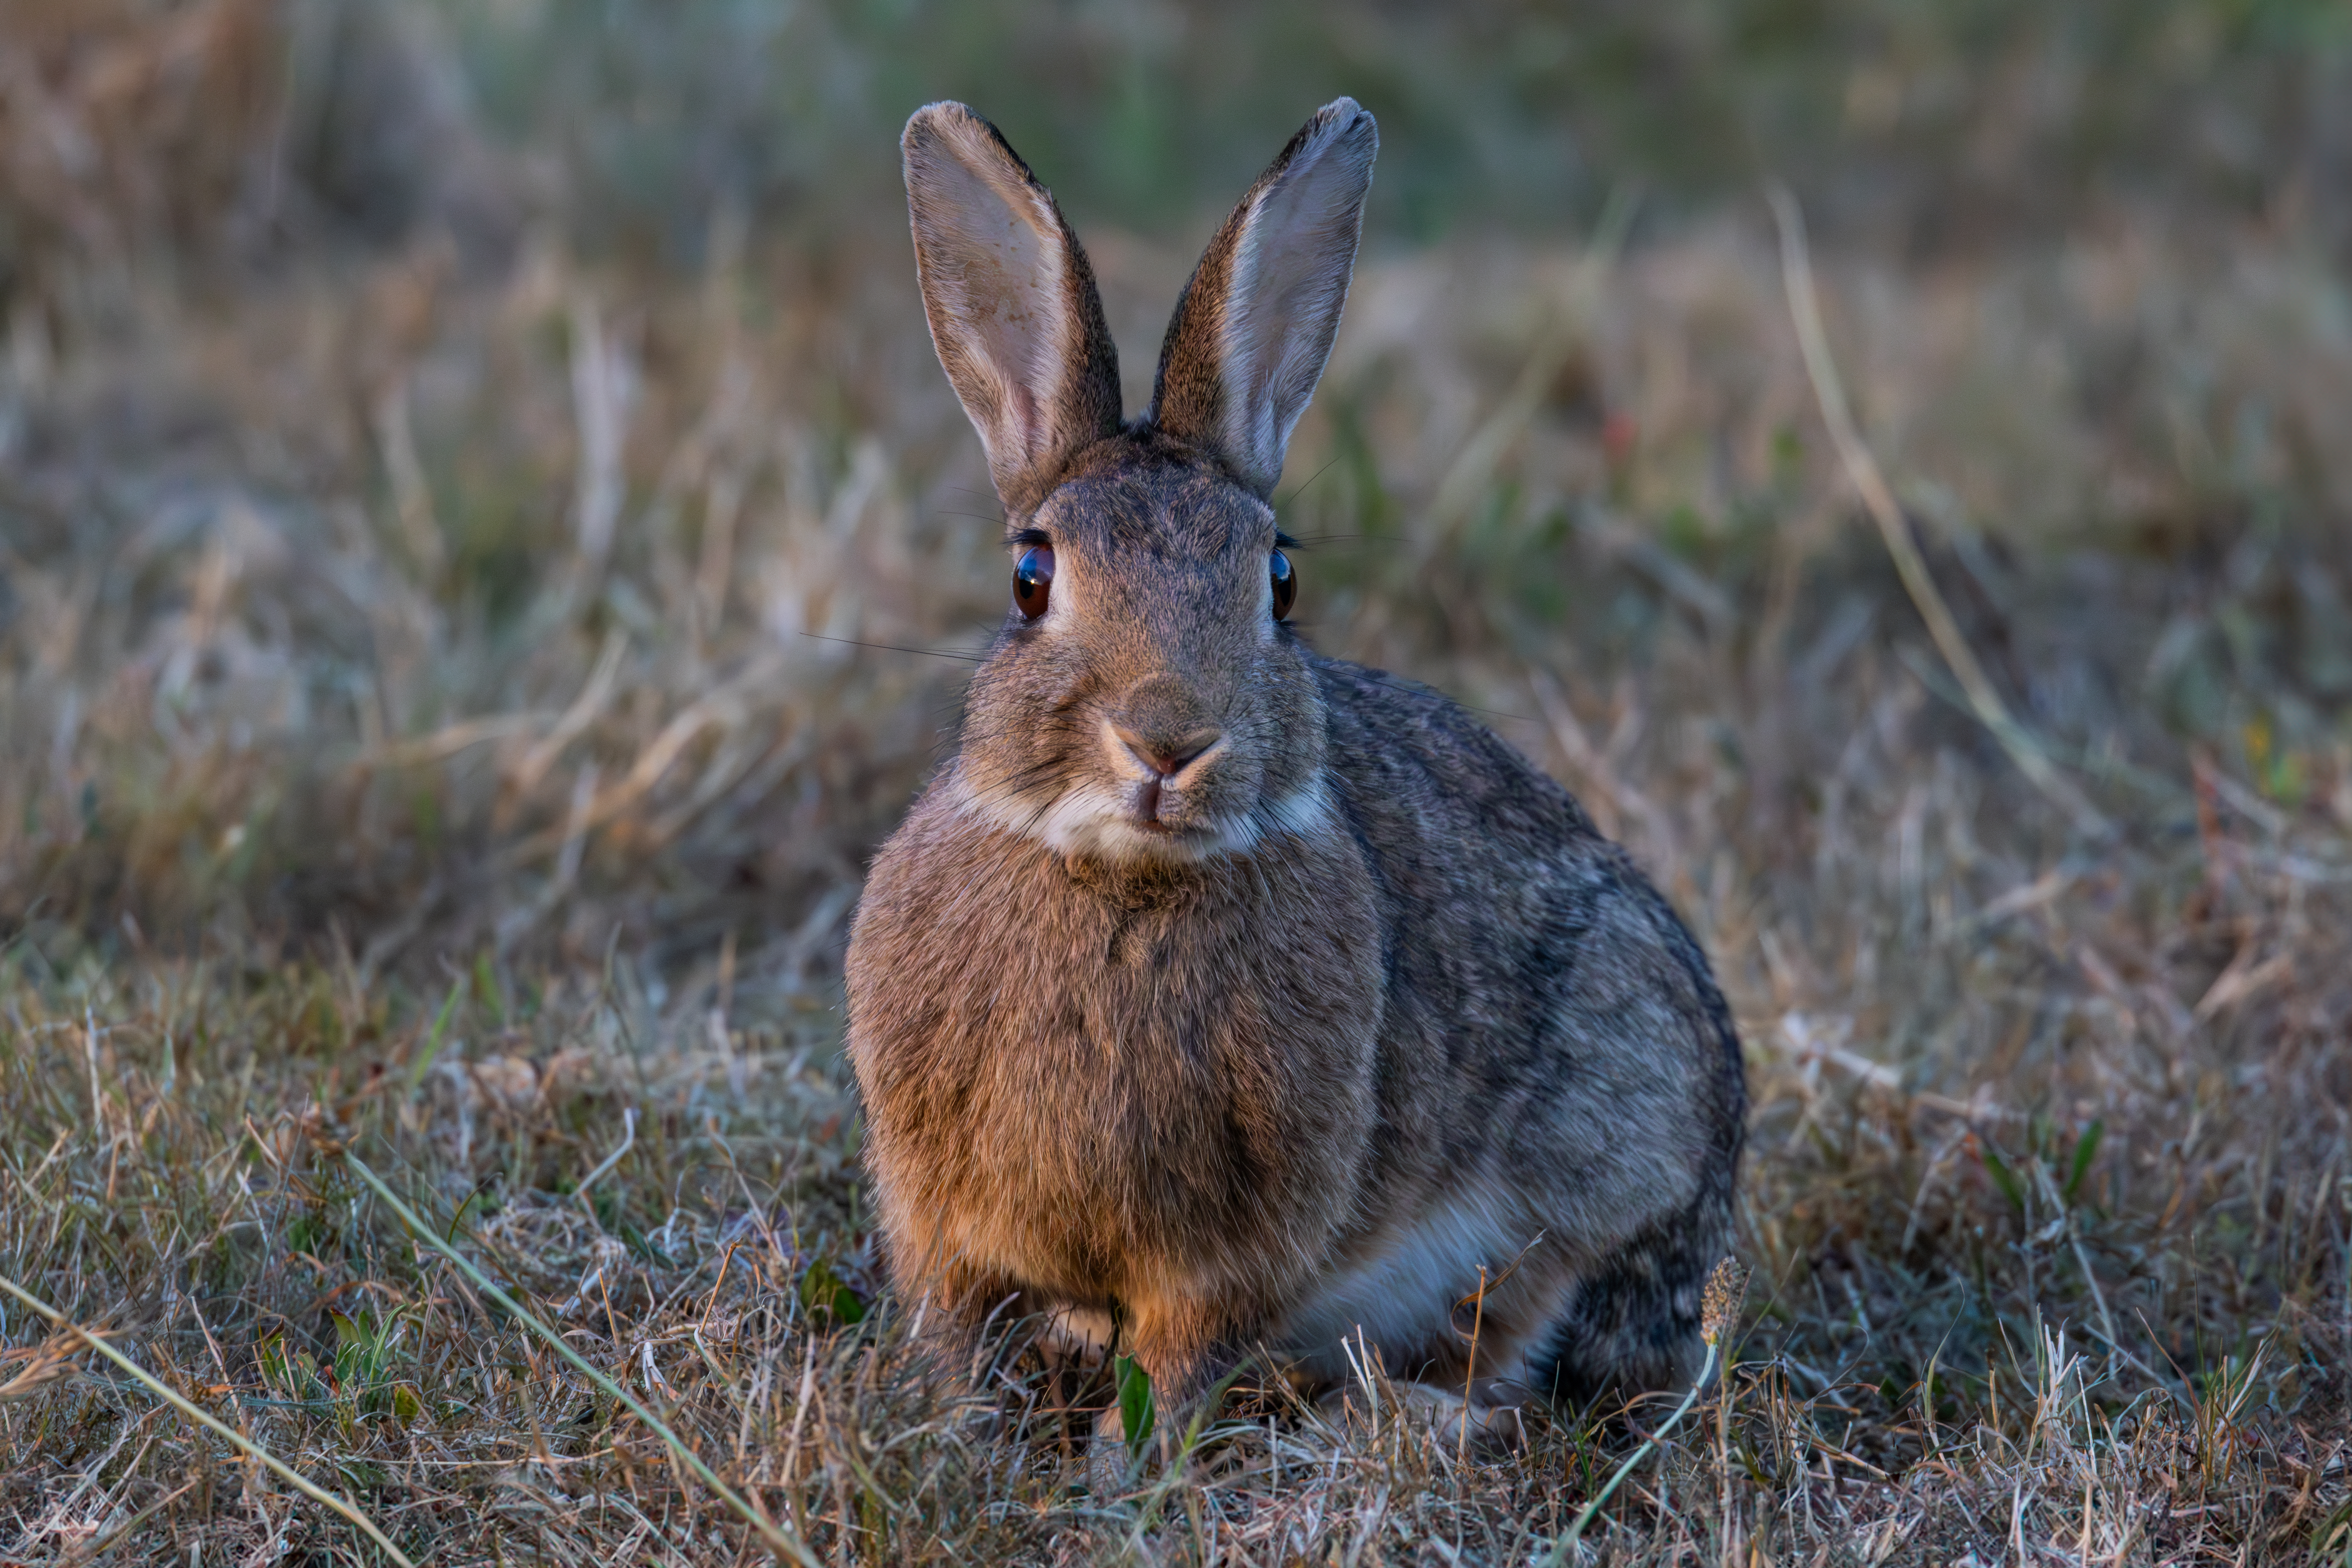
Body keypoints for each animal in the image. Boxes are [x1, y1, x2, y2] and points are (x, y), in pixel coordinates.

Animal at [844, 97, 1746, 1444]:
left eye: (1278, 581)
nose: (1169, 738)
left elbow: (1176, 1362)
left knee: (1521, 1337)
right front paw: (954, 1434)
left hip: (1600, 1147)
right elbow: (954, 1331)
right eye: (1029, 576)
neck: (1123, 879)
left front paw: (1122, 1467)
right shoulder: (937, 1218)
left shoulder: (1235, 1246)